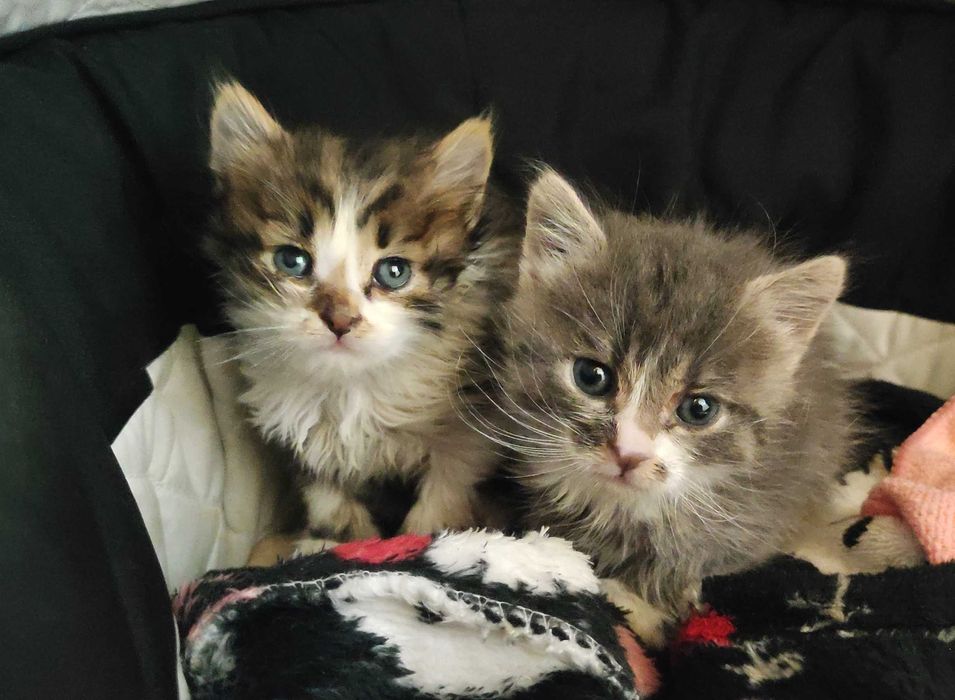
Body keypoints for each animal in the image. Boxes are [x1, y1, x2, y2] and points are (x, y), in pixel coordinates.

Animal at [204, 82, 521, 546]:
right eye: (291, 261)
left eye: (394, 272)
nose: (340, 320)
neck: (350, 387)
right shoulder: (299, 430)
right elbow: (327, 497)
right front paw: (339, 540)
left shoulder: (471, 427)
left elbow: (446, 490)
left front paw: (421, 541)